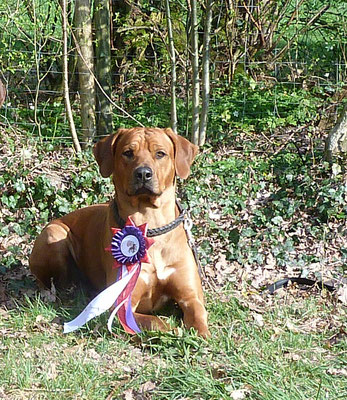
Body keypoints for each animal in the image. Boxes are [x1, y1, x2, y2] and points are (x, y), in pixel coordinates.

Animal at [29, 126, 209, 336]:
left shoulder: (190, 296)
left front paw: (201, 336)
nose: (143, 174)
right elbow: (155, 322)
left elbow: (198, 315)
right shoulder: (123, 304)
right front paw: (173, 331)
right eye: (128, 153)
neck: (150, 225)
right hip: (54, 234)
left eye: (160, 153)